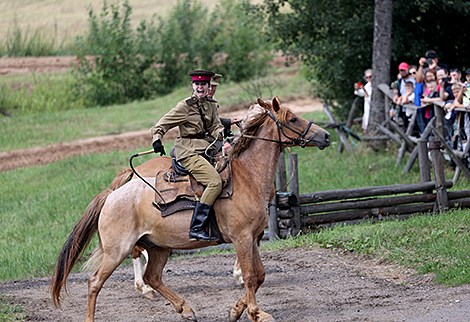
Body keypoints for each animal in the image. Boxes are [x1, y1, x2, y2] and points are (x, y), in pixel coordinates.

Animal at [50, 96, 330, 322]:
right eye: (293, 118)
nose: (325, 136)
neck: (246, 178)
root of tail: (111, 195)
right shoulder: (241, 238)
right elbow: (251, 276)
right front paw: (255, 313)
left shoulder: (252, 237)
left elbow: (259, 275)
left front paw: (235, 311)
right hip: (117, 250)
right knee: (96, 281)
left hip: (159, 247)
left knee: (153, 276)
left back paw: (185, 309)